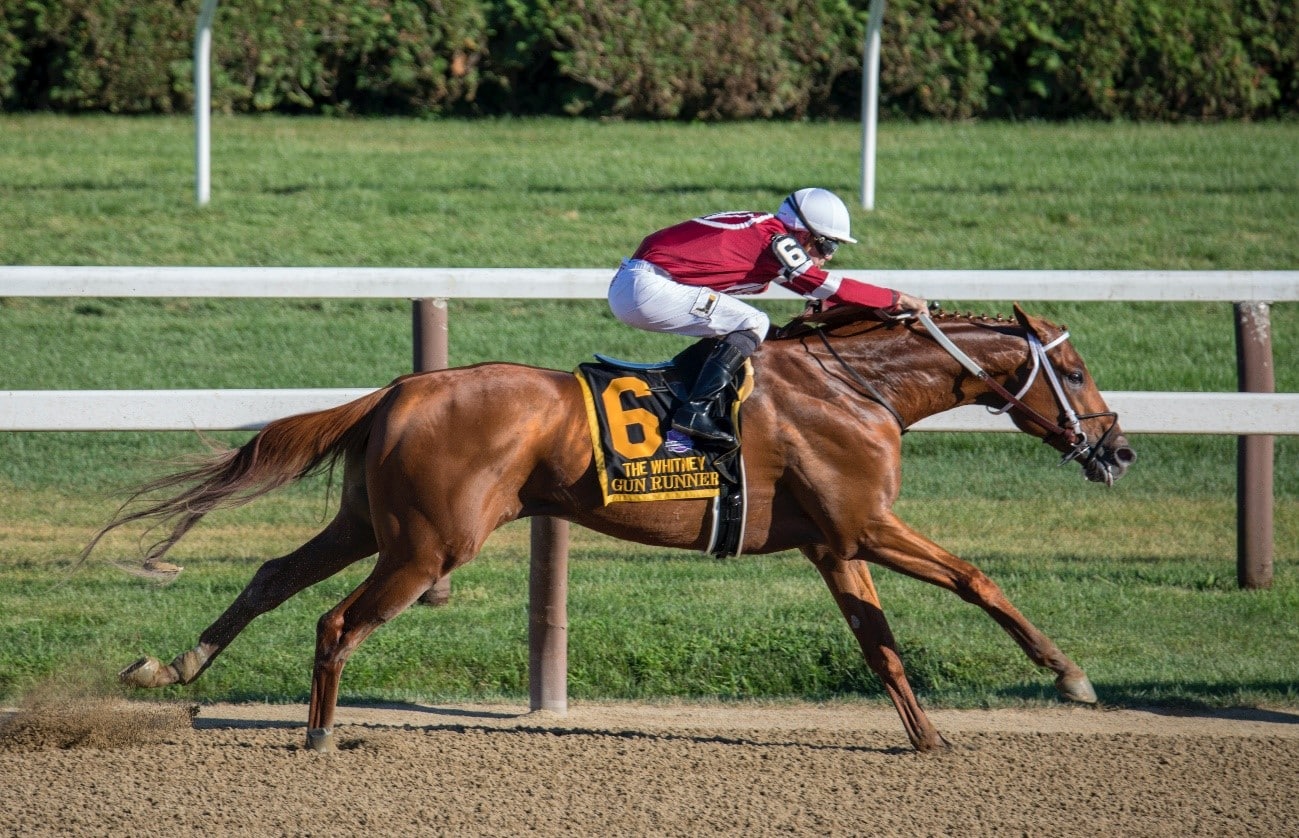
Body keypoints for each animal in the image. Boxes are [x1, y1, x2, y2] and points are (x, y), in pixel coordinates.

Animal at [86, 305, 1132, 753]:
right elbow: (975, 580)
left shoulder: (835, 544)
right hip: (428, 544)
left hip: (369, 525)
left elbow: (879, 646)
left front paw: (927, 741)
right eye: (1076, 373)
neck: (856, 387)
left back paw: (168, 668)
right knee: (338, 622)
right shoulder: (864, 527)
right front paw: (1070, 676)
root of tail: (400, 390)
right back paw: (316, 739)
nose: (1116, 450)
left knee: (271, 574)